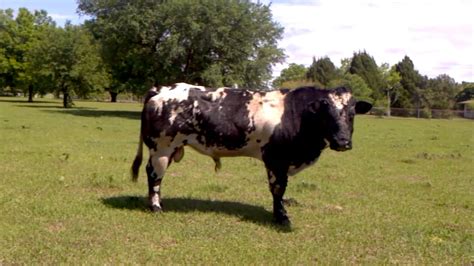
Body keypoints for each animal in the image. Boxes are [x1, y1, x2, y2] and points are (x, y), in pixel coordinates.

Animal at [131, 82, 372, 224]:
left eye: (352, 113)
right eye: (325, 113)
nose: (343, 142)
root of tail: (162, 89)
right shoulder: (276, 160)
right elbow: (278, 190)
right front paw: (281, 217)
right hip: (162, 148)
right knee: (154, 176)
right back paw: (156, 207)